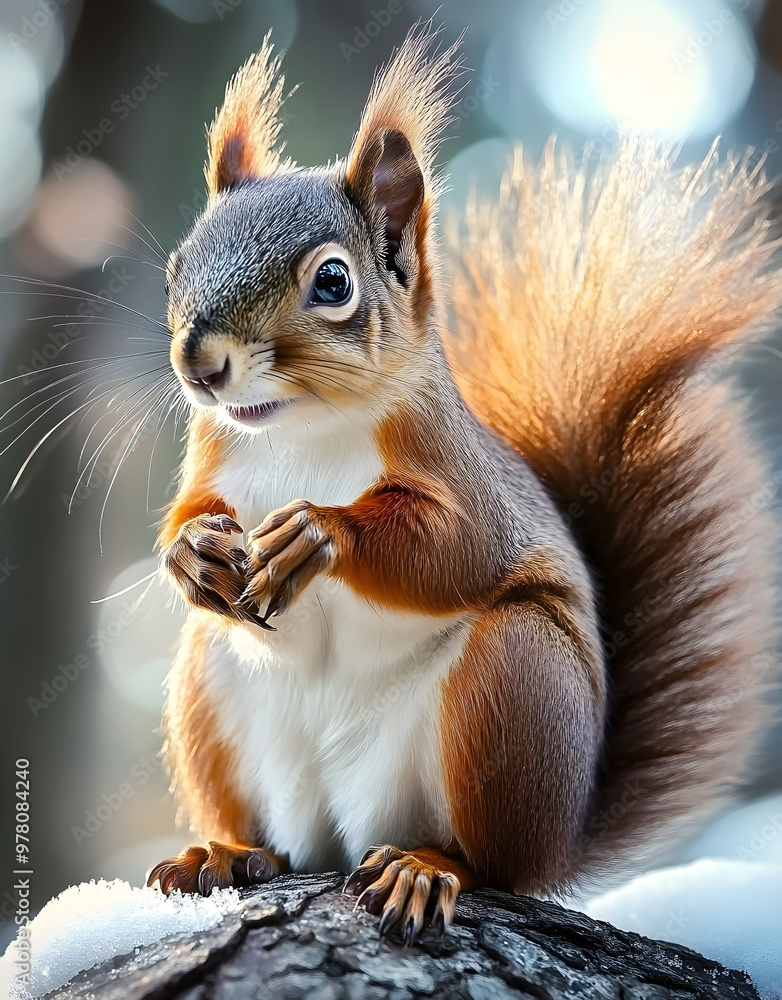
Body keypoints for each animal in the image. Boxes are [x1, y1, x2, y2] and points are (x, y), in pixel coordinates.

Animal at [145, 26, 781, 943]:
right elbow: (187, 513)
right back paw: (223, 854)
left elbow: (457, 551)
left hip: (515, 685)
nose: (199, 363)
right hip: (210, 683)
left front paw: (318, 532)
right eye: (175, 265)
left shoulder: (459, 472)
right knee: (272, 837)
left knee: (495, 864)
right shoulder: (213, 452)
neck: (297, 427)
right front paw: (193, 550)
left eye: (332, 282)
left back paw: (425, 868)